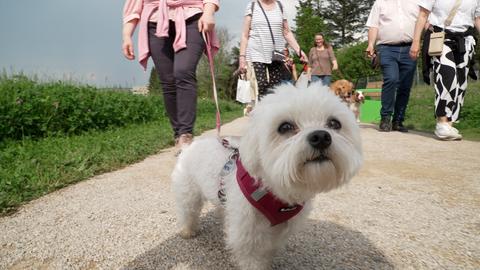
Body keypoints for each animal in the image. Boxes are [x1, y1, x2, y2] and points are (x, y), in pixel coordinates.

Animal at [171, 83, 362, 268]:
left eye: (334, 123)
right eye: (285, 127)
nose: (321, 136)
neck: (278, 192)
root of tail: (190, 145)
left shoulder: (278, 232)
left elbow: (269, 251)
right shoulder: (247, 235)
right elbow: (252, 260)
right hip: (188, 192)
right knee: (188, 211)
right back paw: (188, 230)